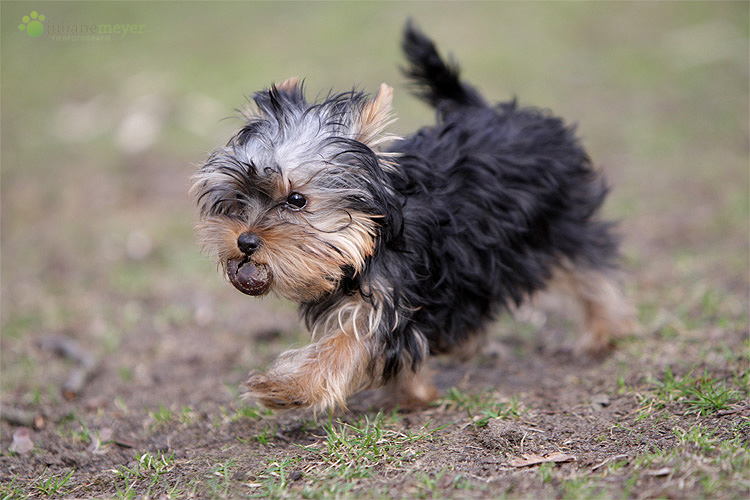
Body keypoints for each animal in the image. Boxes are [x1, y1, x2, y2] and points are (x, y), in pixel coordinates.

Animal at [191, 23, 632, 412]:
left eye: (297, 199)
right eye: (239, 197)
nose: (245, 241)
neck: (370, 238)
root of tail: (490, 111)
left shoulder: (390, 294)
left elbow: (347, 344)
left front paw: (287, 389)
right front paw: (412, 394)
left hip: (559, 222)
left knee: (589, 267)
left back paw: (603, 332)